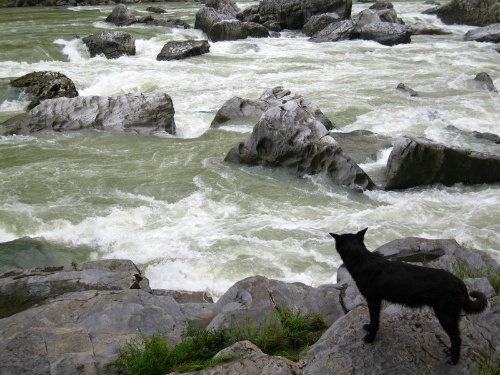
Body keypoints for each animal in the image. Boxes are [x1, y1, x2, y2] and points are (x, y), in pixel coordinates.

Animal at [328, 228, 488, 366]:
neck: (362, 259)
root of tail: (458, 282)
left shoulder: (373, 300)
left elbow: (374, 319)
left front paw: (370, 338)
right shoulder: (377, 301)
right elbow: (374, 321)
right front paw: (369, 328)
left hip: (445, 315)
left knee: (457, 338)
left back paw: (454, 360)